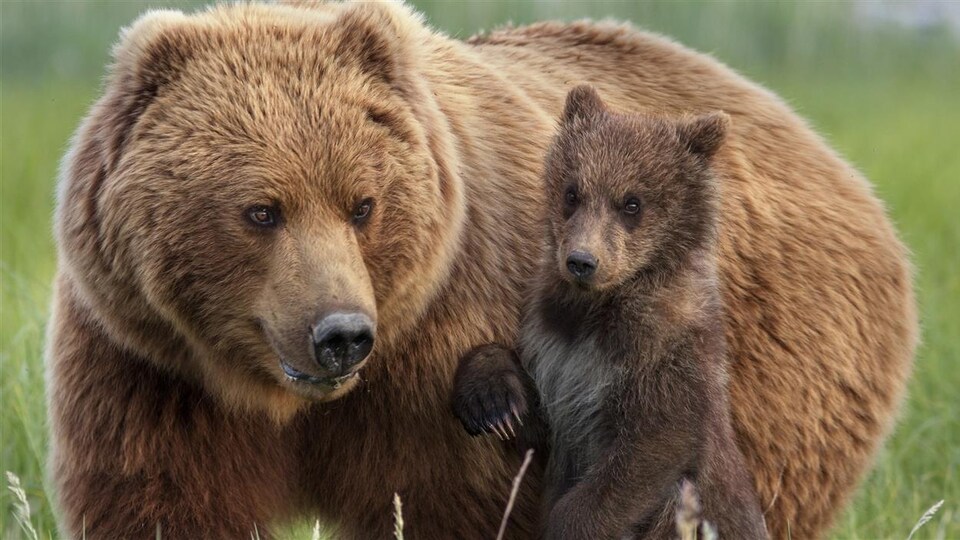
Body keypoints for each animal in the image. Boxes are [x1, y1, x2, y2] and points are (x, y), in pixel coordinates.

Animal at [48, 2, 920, 536]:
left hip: (776, 370)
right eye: (261, 210)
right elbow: (163, 502)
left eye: (362, 204)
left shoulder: (442, 351)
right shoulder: (149, 368)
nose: (341, 334)